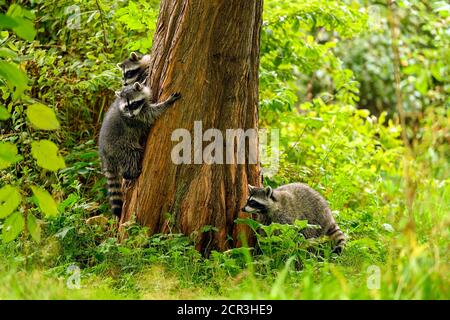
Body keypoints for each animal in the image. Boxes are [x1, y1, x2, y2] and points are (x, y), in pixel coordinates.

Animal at [99, 82, 180, 218]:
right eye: (127, 107)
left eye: (133, 104)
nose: (131, 115)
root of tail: (104, 152)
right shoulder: (137, 118)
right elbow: (152, 113)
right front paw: (166, 103)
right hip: (120, 147)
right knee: (132, 154)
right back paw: (130, 173)